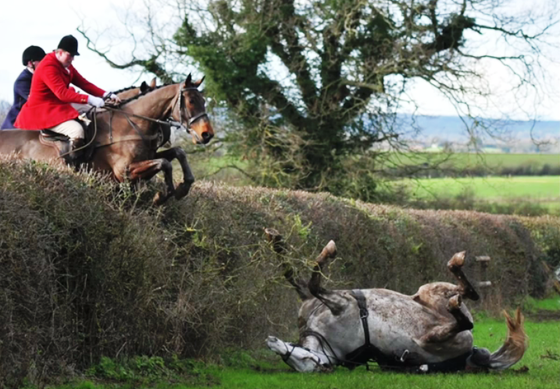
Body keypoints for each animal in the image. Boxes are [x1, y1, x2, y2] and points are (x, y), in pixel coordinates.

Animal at [0, 74, 213, 205]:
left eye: (204, 101)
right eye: (191, 101)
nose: (207, 134)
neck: (130, 124)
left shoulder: (146, 158)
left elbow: (178, 153)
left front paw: (182, 188)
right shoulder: (124, 172)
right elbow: (164, 163)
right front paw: (162, 195)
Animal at [264, 227, 528, 372]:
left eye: (303, 358)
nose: (271, 342)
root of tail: (470, 353)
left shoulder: (330, 301)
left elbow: (300, 277)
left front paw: (277, 241)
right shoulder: (334, 302)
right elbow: (304, 280)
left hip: (428, 290)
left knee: (468, 293)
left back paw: (456, 267)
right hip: (430, 337)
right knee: (465, 316)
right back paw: (455, 284)